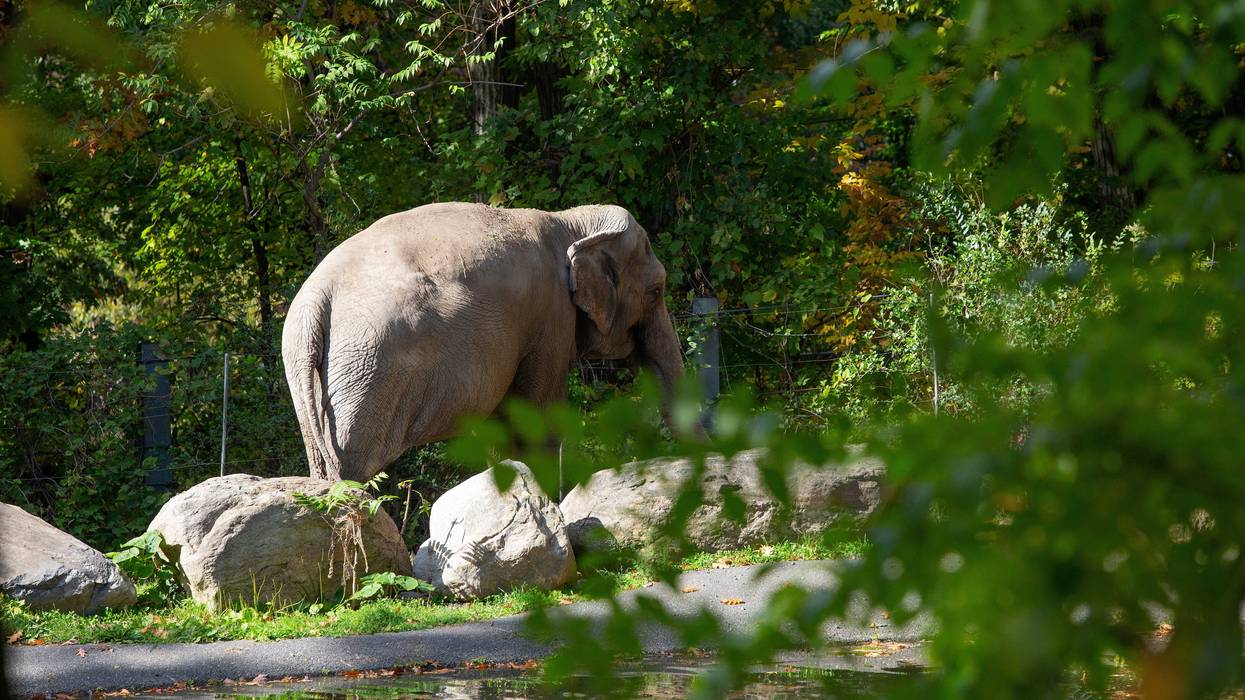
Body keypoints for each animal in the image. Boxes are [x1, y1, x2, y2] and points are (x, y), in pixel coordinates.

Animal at [281, 202, 687, 482]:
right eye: (656, 292)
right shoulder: (550, 317)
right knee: (356, 466)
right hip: (370, 368)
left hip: (309, 371)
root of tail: (318, 298)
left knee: (323, 465)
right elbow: (537, 421)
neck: (571, 221)